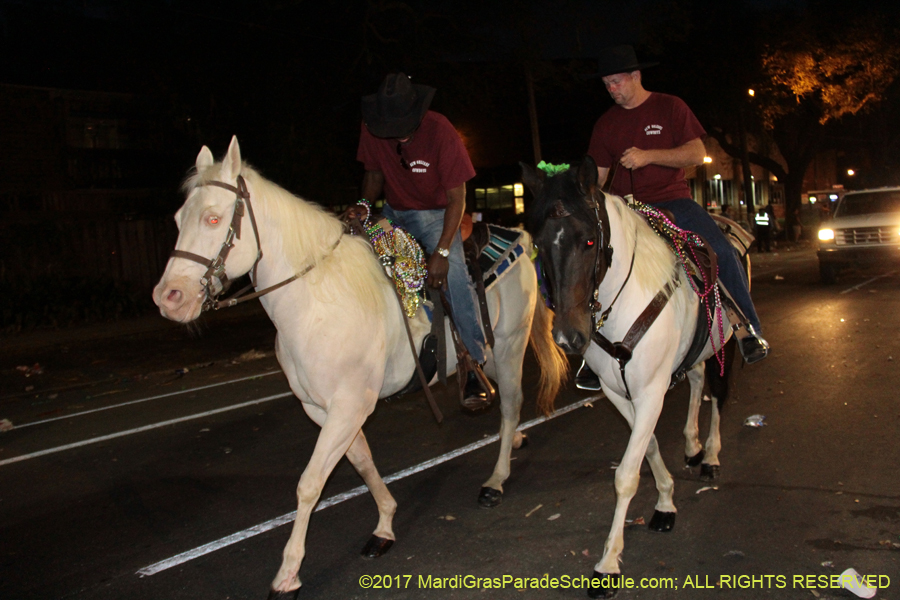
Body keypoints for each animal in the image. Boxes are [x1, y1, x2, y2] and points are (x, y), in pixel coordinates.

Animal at [151, 137, 568, 600]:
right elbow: (362, 463)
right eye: (178, 219)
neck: (316, 302)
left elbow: (310, 484)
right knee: (506, 402)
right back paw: (515, 442)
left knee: (511, 403)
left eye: (213, 218)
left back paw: (496, 479)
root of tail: (517, 237)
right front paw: (384, 525)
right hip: (492, 356)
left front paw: (288, 574)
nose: (168, 298)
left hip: (510, 345)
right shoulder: (326, 410)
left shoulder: (349, 406)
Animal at [520, 157, 740, 596]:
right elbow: (648, 446)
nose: (568, 337)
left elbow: (625, 475)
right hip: (693, 354)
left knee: (719, 394)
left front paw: (607, 564)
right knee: (696, 380)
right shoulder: (619, 393)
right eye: (539, 245)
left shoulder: (651, 391)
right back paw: (692, 444)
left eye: (589, 241)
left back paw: (710, 454)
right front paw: (666, 500)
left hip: (723, 347)